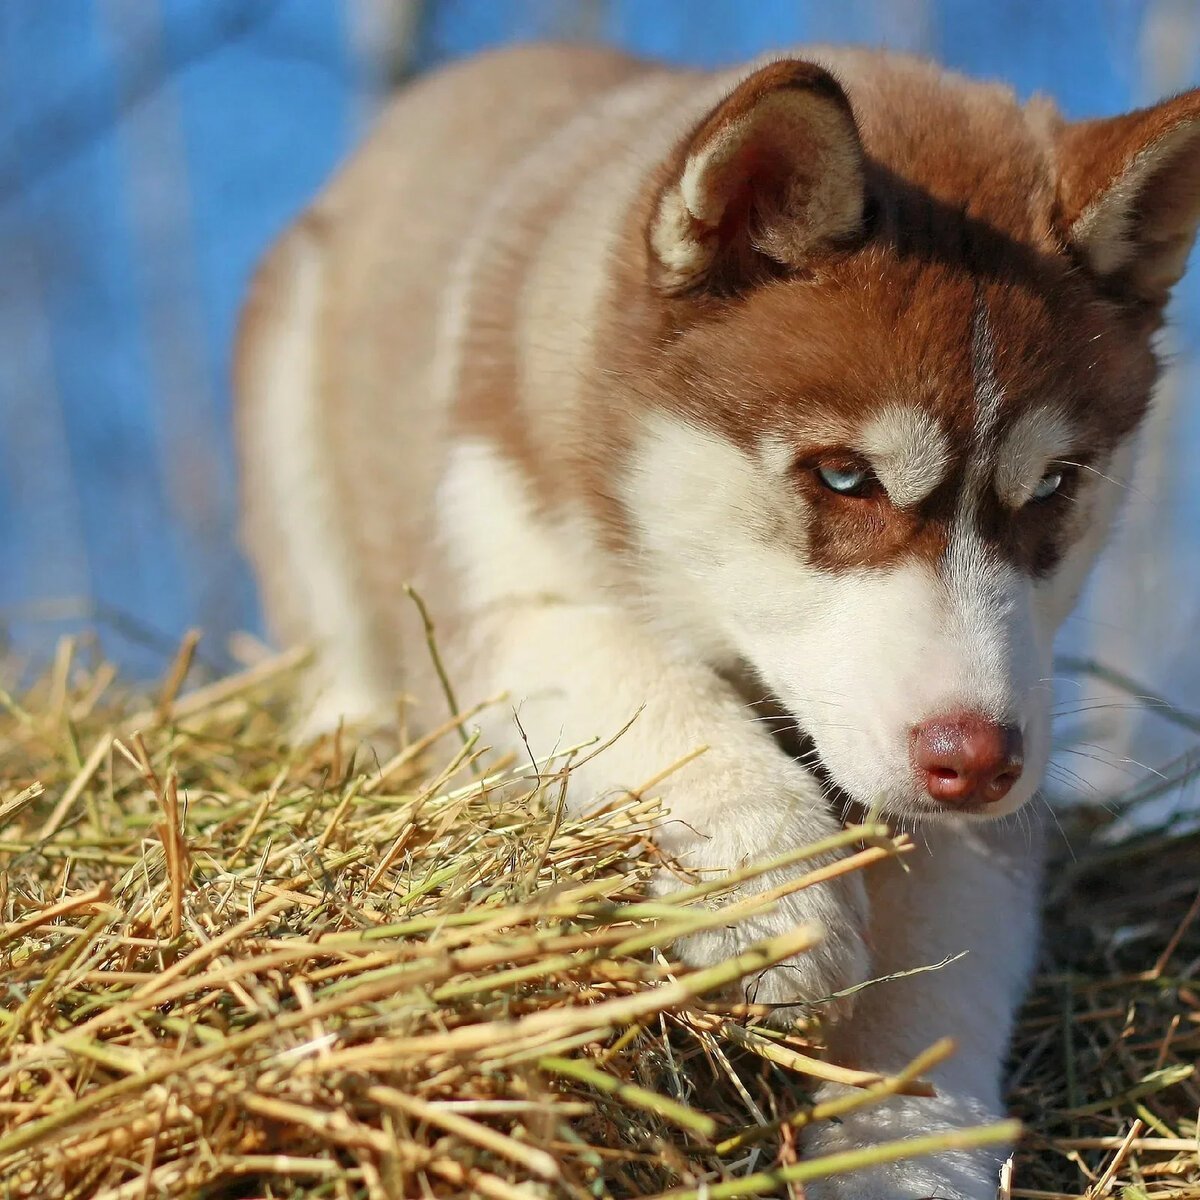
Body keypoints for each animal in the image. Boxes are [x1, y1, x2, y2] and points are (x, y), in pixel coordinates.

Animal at [234, 42, 1200, 1195]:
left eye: (1055, 486)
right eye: (845, 476)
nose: (975, 763)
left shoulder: (998, 746)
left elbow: (949, 972)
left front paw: (904, 1148)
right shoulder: (498, 603)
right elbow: (653, 693)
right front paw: (775, 891)